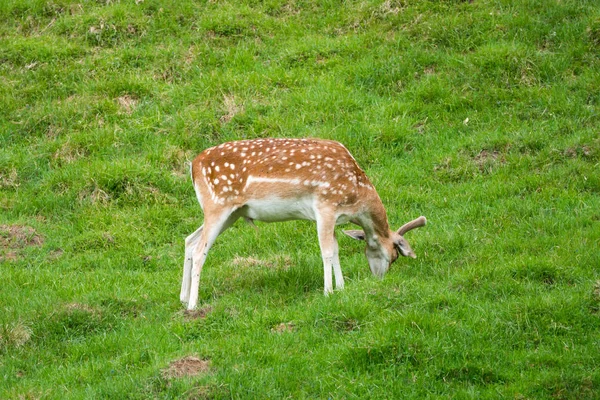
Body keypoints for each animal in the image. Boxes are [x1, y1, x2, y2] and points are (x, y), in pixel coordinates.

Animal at [179, 138, 426, 310]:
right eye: (395, 255)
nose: (380, 278)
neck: (356, 196)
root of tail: (193, 166)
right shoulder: (325, 205)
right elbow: (327, 251)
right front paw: (328, 292)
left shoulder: (332, 216)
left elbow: (335, 249)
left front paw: (342, 287)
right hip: (217, 205)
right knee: (200, 250)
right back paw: (193, 304)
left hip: (232, 213)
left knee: (189, 240)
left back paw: (182, 298)